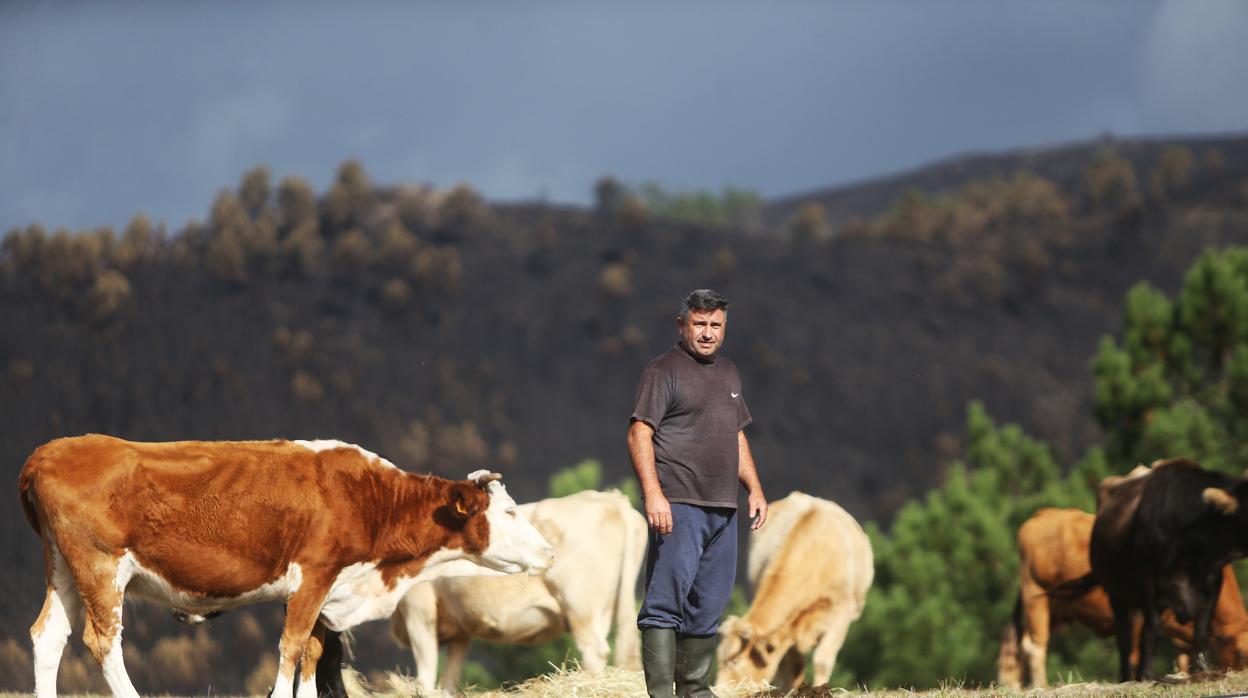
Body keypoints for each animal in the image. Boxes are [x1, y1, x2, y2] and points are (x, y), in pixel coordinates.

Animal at [18, 434, 556, 698]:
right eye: (511, 512)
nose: (550, 553)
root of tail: (48, 453)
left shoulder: (329, 590)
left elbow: (314, 654)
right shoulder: (314, 575)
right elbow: (292, 648)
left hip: (63, 569)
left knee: (48, 636)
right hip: (99, 567)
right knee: (103, 641)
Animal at [386, 491, 643, 694]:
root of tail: (612, 498)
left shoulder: (419, 610)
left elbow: (426, 676)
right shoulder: (459, 630)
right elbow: (449, 680)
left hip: (581, 607)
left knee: (594, 651)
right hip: (604, 610)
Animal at [718, 491, 873, 694]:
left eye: (735, 661)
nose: (716, 691)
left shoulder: (842, 614)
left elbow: (822, 661)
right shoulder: (788, 626)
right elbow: (794, 663)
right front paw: (790, 692)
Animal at [998, 504, 1248, 689]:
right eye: (1241, 653)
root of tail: (1043, 514)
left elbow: (1185, 655)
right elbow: (1136, 652)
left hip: (1055, 605)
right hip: (1035, 595)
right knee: (1035, 646)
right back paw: (1043, 686)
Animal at [1058, 459, 1248, 684]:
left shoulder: (1212, 581)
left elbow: (1201, 631)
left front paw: (1203, 672)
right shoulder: (1148, 581)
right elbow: (1152, 629)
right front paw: (1146, 676)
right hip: (1117, 594)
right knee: (1126, 637)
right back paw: (1127, 677)